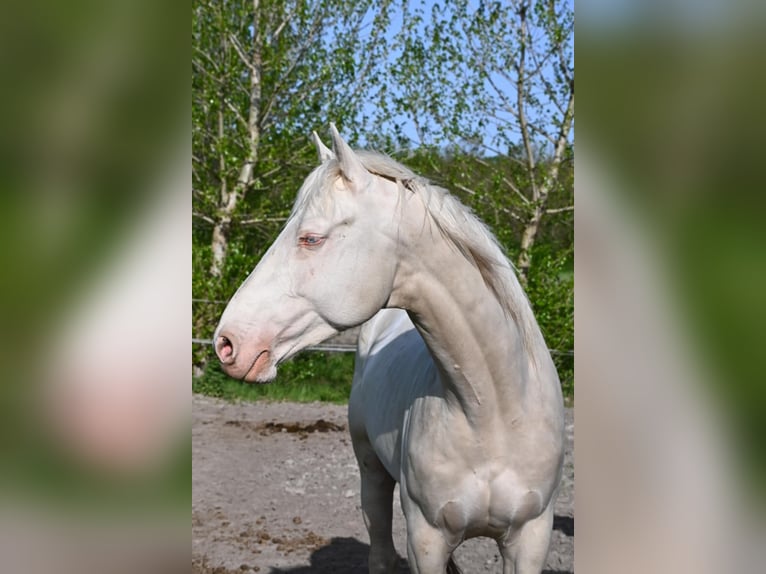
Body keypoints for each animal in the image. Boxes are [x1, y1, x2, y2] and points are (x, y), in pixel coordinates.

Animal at [214, 125, 565, 574]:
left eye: (311, 238)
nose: (226, 342)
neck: (492, 414)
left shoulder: (530, 539)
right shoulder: (426, 541)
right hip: (372, 475)